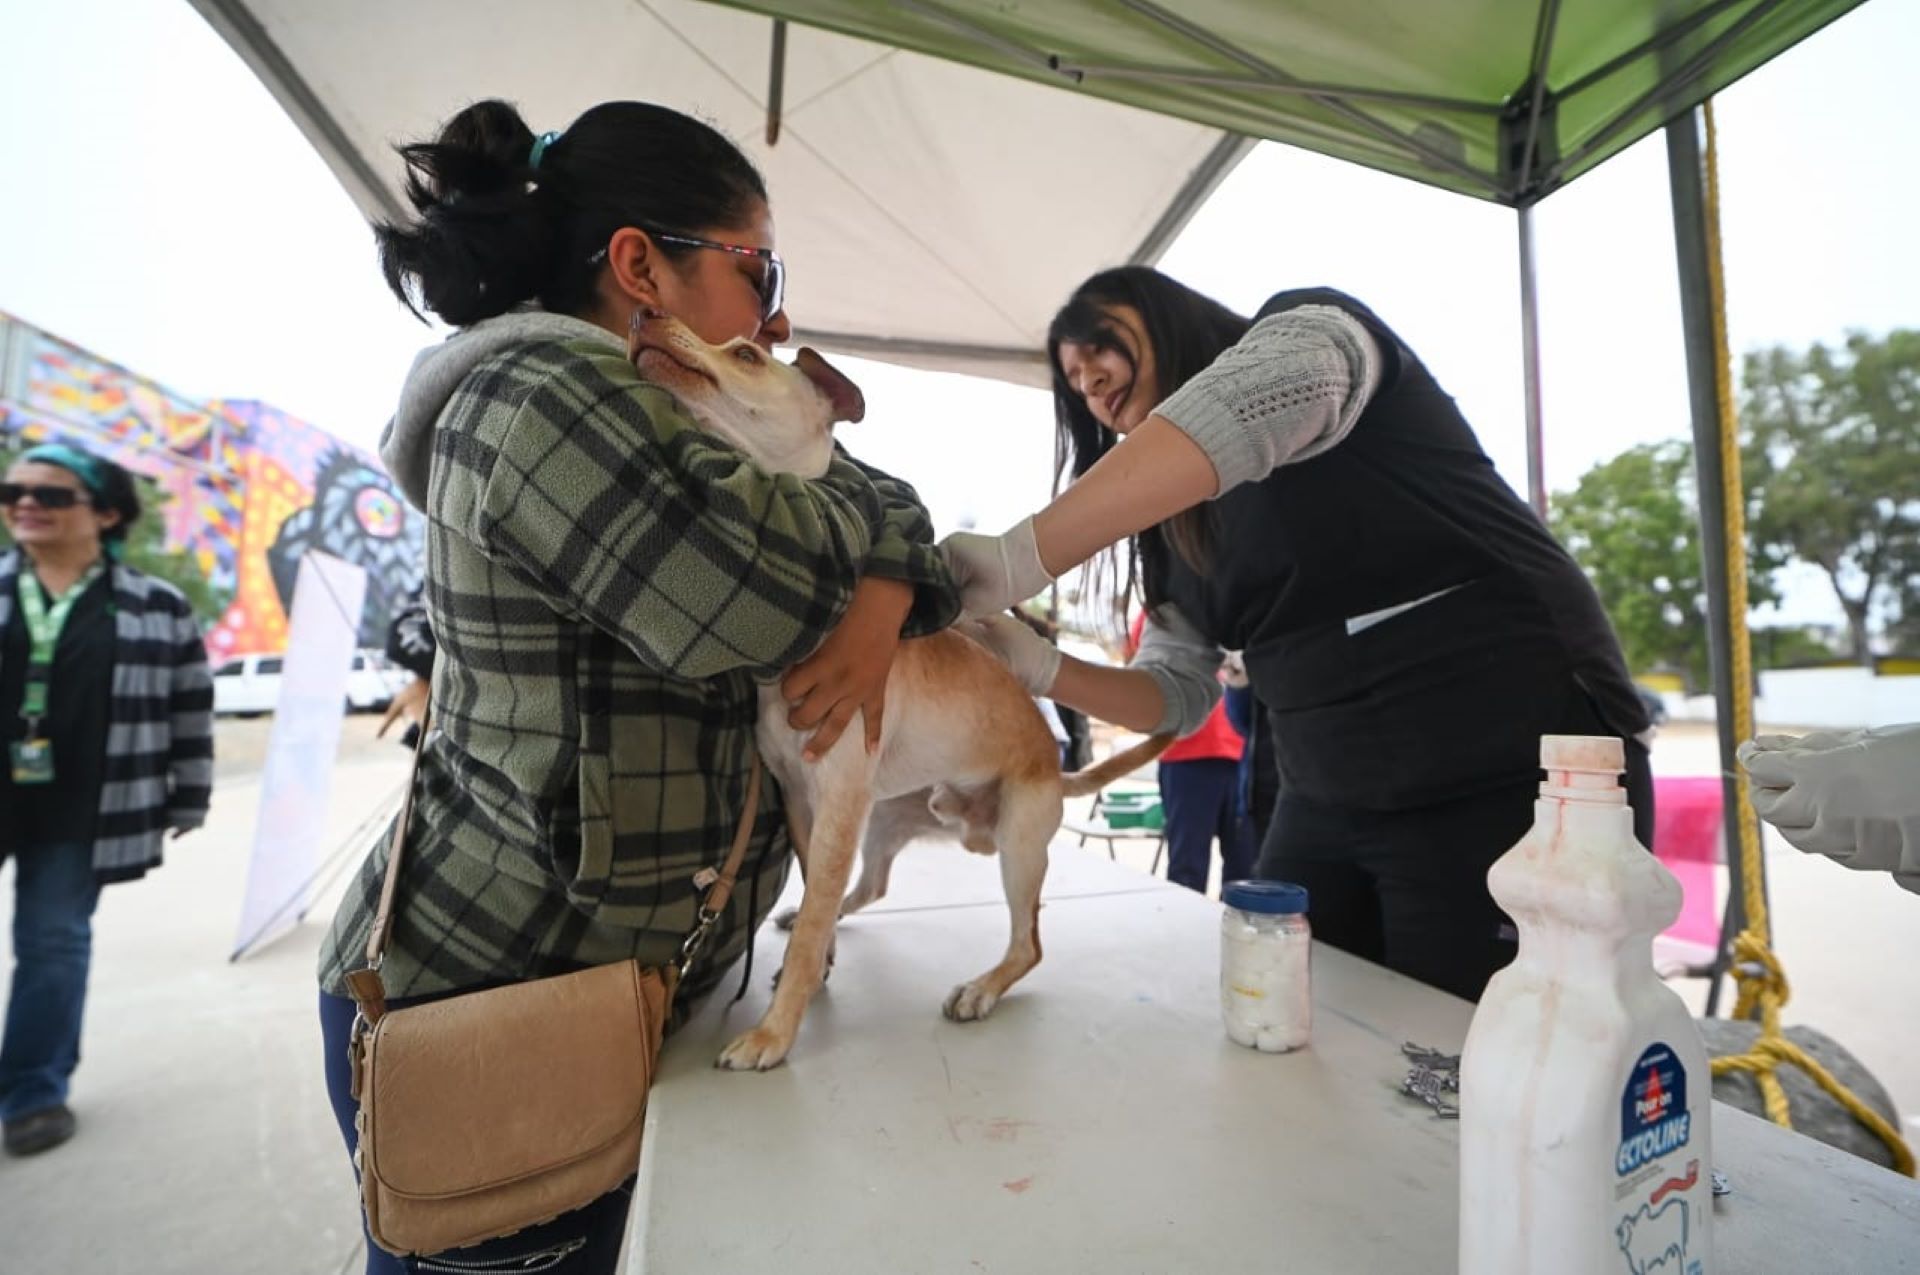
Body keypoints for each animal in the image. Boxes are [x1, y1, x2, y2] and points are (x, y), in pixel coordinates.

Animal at [629, 312, 1167, 1067]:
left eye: (746, 355)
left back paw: (980, 988)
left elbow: (810, 932)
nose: (647, 316)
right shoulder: (806, 804)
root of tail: (1054, 768)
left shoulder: (835, 806)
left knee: (1028, 943)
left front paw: (772, 1034)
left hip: (1017, 845)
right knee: (874, 885)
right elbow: (817, 907)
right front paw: (807, 959)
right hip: (885, 821)